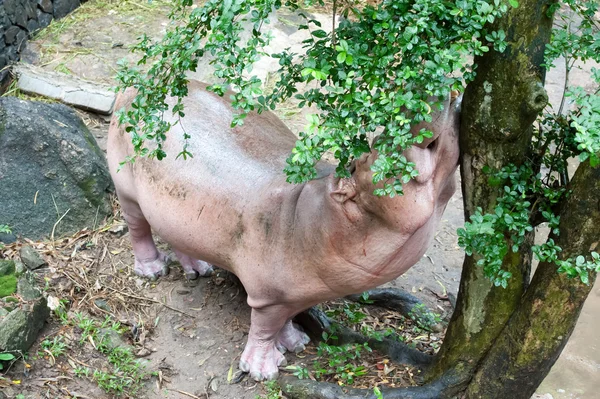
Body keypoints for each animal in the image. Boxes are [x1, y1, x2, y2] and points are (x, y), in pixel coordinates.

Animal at [108, 80, 460, 382]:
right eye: (373, 150)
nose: (431, 82)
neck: (325, 217)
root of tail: (139, 85)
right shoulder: (269, 295)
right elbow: (265, 326)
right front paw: (263, 371)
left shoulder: (299, 290)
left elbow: (288, 318)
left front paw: (296, 342)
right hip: (127, 190)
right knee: (138, 228)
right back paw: (153, 270)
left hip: (178, 210)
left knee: (176, 235)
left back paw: (199, 269)